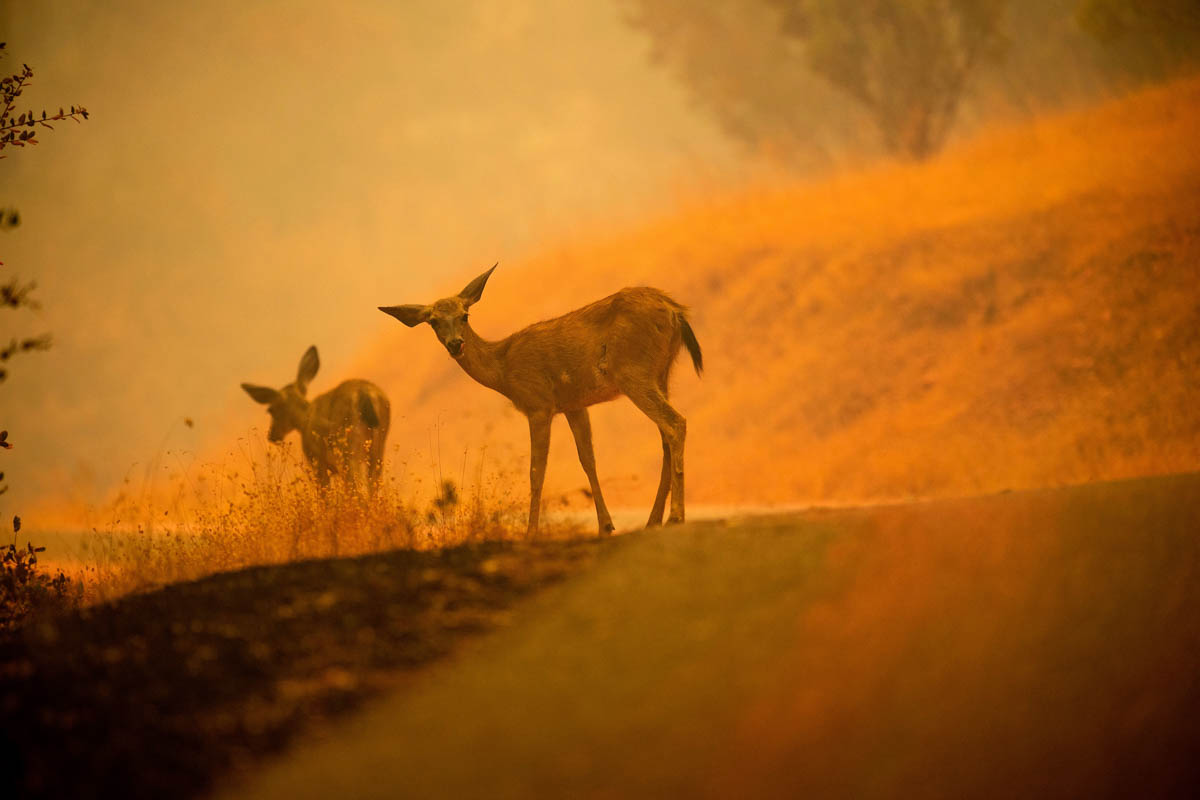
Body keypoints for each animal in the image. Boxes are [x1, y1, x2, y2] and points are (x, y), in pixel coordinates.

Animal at [241, 346, 391, 493]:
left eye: (270, 410)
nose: (272, 435)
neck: (304, 420)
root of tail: (365, 393)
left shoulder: (317, 462)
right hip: (377, 450)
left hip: (347, 451)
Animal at [379, 264, 702, 536]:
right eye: (433, 321)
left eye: (464, 315)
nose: (456, 344)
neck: (503, 369)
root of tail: (675, 311)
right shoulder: (574, 405)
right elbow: (588, 460)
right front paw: (606, 526)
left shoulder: (538, 404)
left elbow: (536, 471)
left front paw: (530, 533)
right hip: (661, 373)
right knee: (665, 438)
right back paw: (653, 520)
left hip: (633, 372)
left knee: (675, 423)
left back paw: (675, 516)